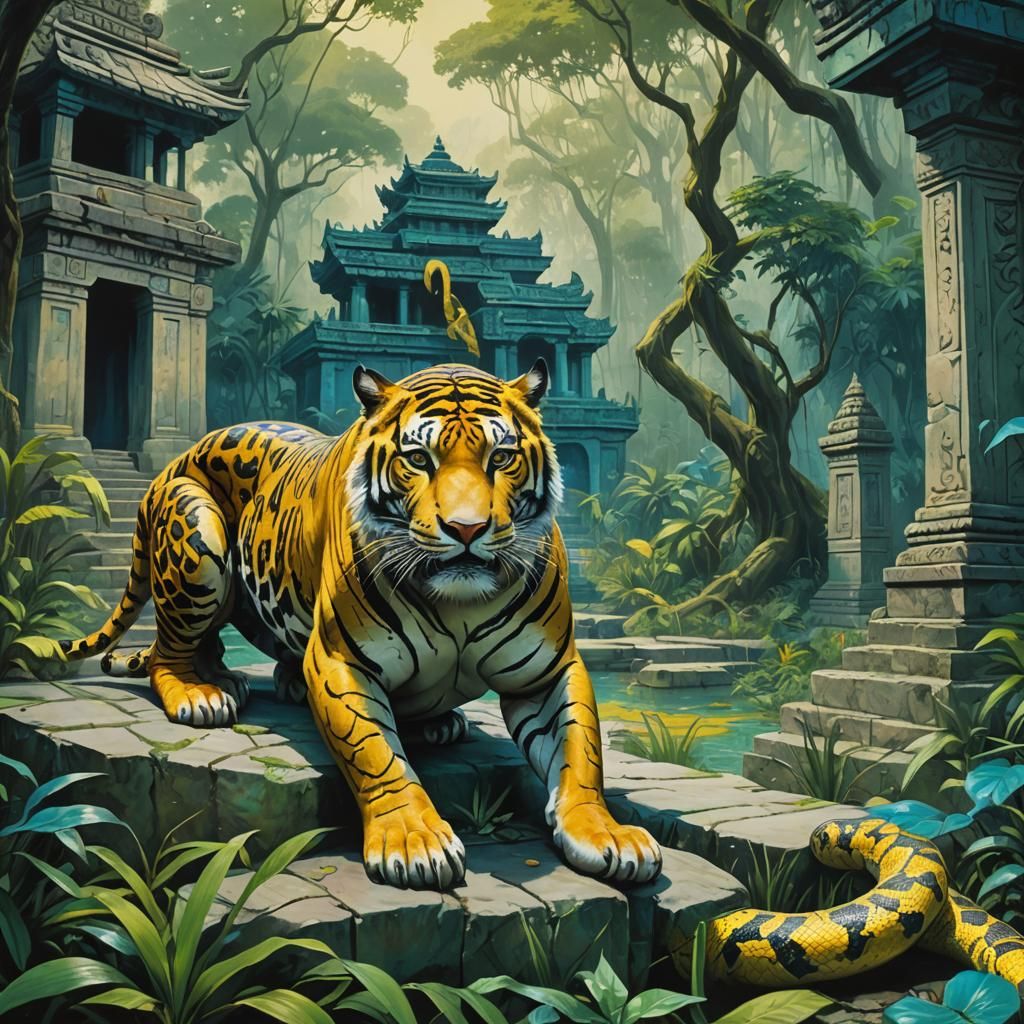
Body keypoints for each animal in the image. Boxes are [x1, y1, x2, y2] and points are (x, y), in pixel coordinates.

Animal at [61, 360, 663, 891]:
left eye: (502, 456)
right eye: (418, 458)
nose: (466, 529)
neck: (459, 603)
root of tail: (176, 457)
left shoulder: (548, 671)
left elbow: (580, 755)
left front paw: (607, 834)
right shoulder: (339, 660)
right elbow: (375, 754)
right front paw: (413, 840)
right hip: (197, 530)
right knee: (168, 652)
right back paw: (201, 694)